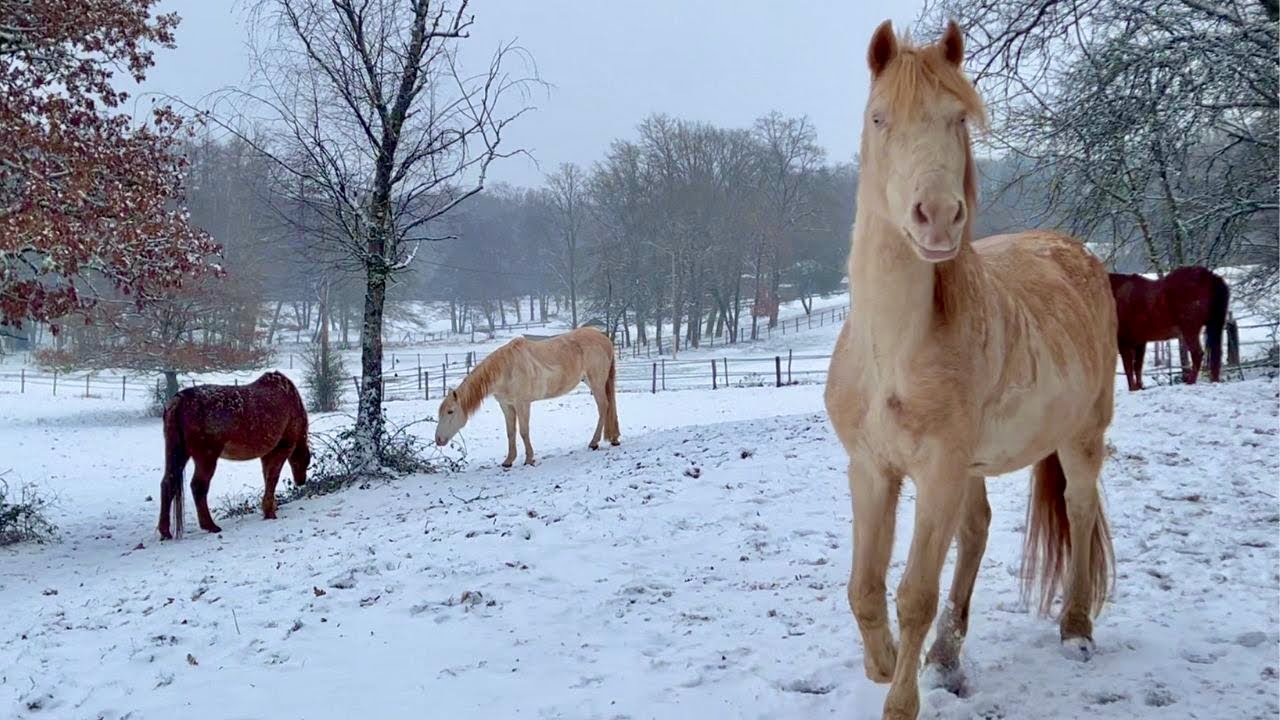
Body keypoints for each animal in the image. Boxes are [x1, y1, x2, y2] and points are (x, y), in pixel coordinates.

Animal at [158, 371, 311, 540]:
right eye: (306, 462)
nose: (301, 481)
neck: (290, 399)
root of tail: (179, 400)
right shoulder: (280, 449)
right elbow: (272, 479)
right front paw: (270, 512)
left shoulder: (266, 455)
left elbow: (267, 478)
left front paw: (271, 507)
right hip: (206, 457)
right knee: (198, 486)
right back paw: (210, 526)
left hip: (178, 454)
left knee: (168, 484)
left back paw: (165, 531)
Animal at [434, 327, 620, 467]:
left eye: (450, 412)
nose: (438, 440)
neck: (506, 370)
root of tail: (603, 338)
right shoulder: (506, 406)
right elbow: (510, 432)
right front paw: (508, 461)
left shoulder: (522, 404)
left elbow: (524, 431)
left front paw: (529, 459)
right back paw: (614, 439)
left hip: (596, 382)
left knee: (604, 407)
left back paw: (594, 443)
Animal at [823, 22, 1116, 719]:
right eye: (880, 118)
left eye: (957, 119)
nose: (937, 216)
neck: (892, 352)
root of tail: (1077, 252)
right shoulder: (871, 468)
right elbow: (865, 588)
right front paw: (881, 666)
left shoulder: (937, 471)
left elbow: (913, 595)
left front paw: (900, 701)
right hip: (973, 469)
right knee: (976, 531)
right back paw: (946, 656)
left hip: (1080, 437)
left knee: (1080, 510)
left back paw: (1076, 630)